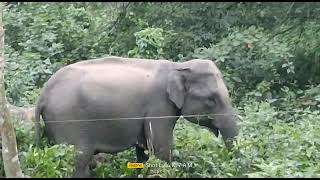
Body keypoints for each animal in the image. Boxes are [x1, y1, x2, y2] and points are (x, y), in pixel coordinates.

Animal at [34, 56, 238, 177]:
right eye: (212, 100)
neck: (177, 66)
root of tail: (43, 94)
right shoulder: (159, 107)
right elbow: (161, 148)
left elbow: (145, 150)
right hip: (67, 121)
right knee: (78, 160)